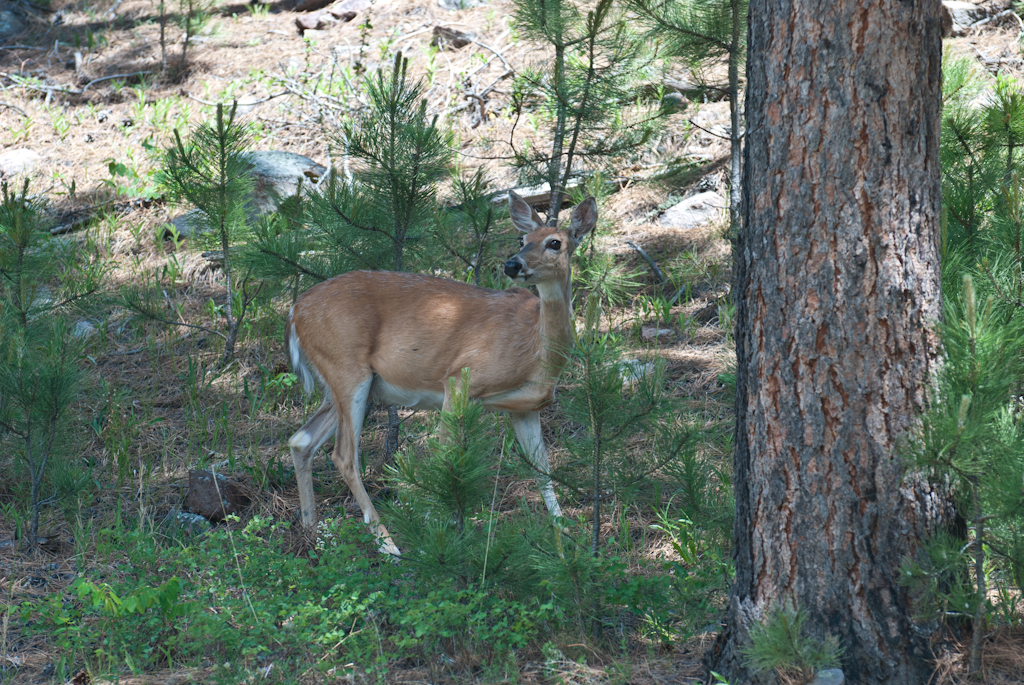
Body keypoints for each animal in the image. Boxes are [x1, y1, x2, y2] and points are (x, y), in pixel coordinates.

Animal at [284, 189, 598, 552]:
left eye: (555, 243)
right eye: (522, 239)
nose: (512, 264)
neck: (534, 350)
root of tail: (294, 312)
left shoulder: (525, 406)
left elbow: (543, 473)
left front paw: (564, 547)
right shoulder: (459, 379)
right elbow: (443, 459)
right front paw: (435, 535)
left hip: (344, 384)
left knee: (301, 440)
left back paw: (313, 534)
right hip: (346, 368)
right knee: (344, 456)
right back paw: (389, 546)